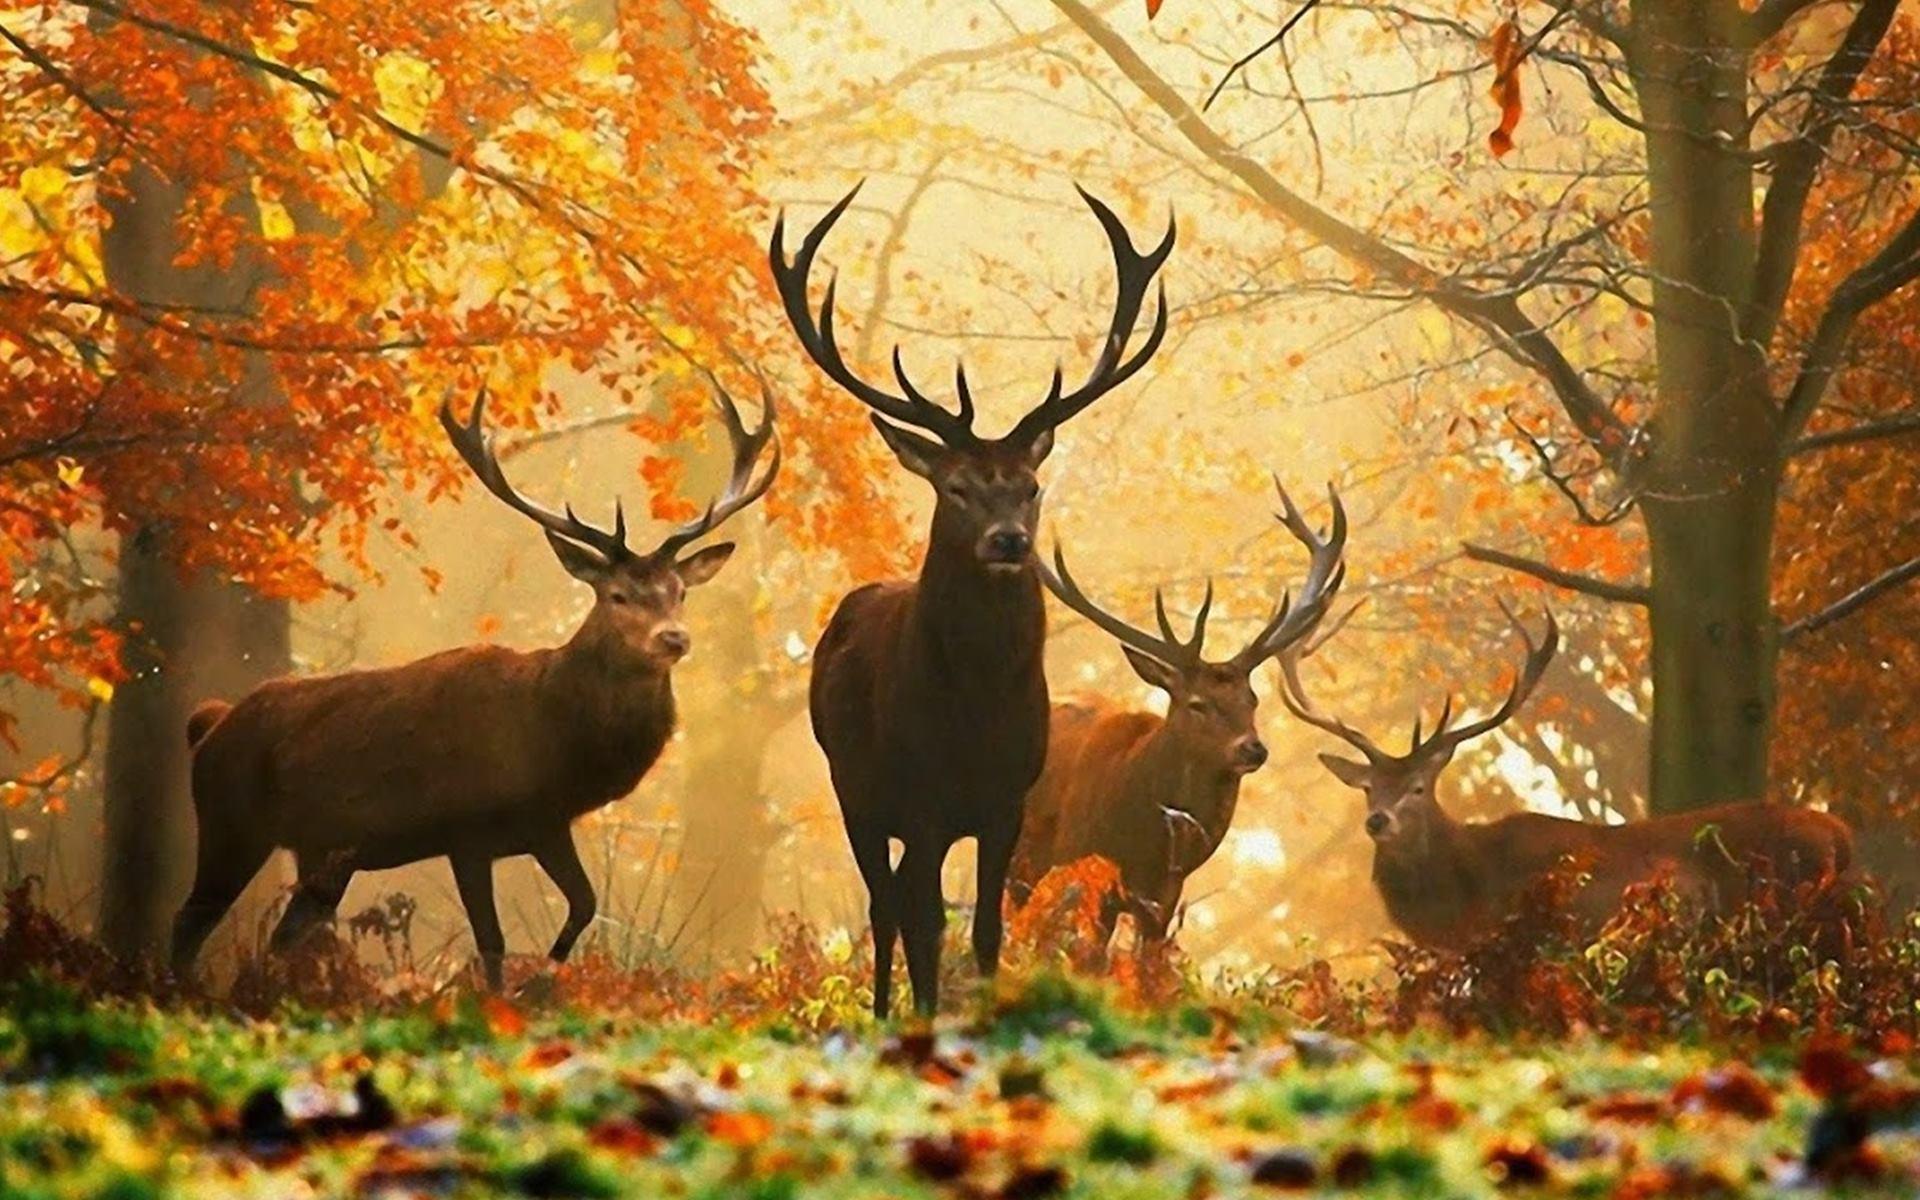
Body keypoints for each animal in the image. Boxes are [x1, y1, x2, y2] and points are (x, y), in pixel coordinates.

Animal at [169, 378, 779, 989]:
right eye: (618, 595)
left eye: (680, 591)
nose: (674, 637)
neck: (554, 741)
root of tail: (209, 725)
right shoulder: (465, 831)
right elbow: (492, 941)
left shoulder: (545, 824)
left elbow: (584, 904)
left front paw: (545, 977)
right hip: (229, 822)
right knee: (187, 923)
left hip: (322, 853)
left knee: (283, 935)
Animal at [770, 184, 1173, 1016]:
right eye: (956, 487)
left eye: (1030, 486)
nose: (1008, 541)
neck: (975, 715)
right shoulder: (919, 799)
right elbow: (925, 924)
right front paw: (925, 1018)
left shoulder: (1006, 802)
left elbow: (987, 929)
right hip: (853, 788)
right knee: (884, 907)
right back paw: (883, 1012)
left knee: (896, 901)